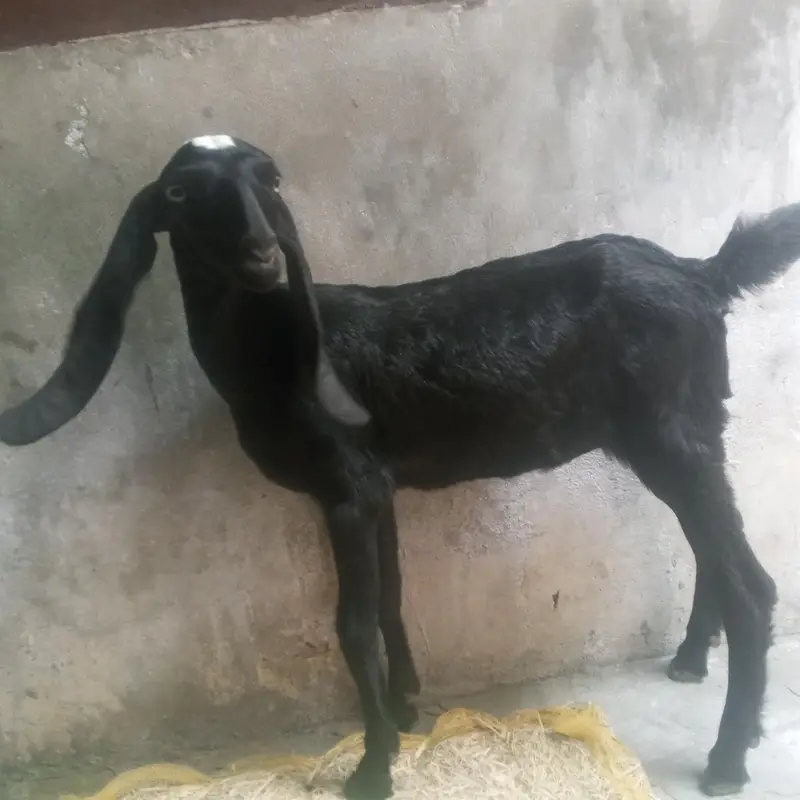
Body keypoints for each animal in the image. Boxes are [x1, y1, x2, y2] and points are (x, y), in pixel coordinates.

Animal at [1, 134, 796, 799]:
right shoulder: (375, 487)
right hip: (682, 434)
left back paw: (728, 757)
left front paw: (372, 767)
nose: (263, 252)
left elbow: (352, 624)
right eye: (181, 192)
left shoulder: (346, 490)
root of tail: (700, 274)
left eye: (270, 179)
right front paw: (406, 708)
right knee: (713, 548)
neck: (274, 348)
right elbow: (389, 600)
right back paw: (693, 658)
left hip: (672, 434)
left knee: (752, 583)